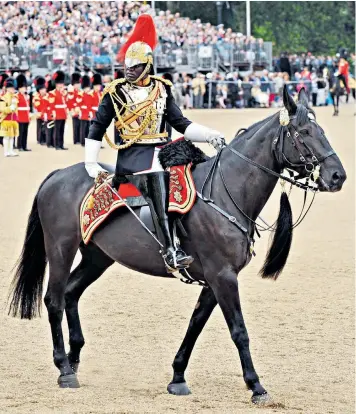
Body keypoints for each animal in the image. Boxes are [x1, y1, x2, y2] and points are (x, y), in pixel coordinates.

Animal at [9, 87, 346, 404]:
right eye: (303, 132)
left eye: (321, 129)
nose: (337, 176)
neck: (223, 191)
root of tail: (58, 175)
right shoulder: (223, 276)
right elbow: (239, 331)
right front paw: (256, 386)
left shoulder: (214, 279)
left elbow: (195, 325)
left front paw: (177, 376)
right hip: (61, 248)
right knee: (53, 299)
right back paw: (64, 368)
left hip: (98, 257)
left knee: (70, 293)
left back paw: (74, 358)